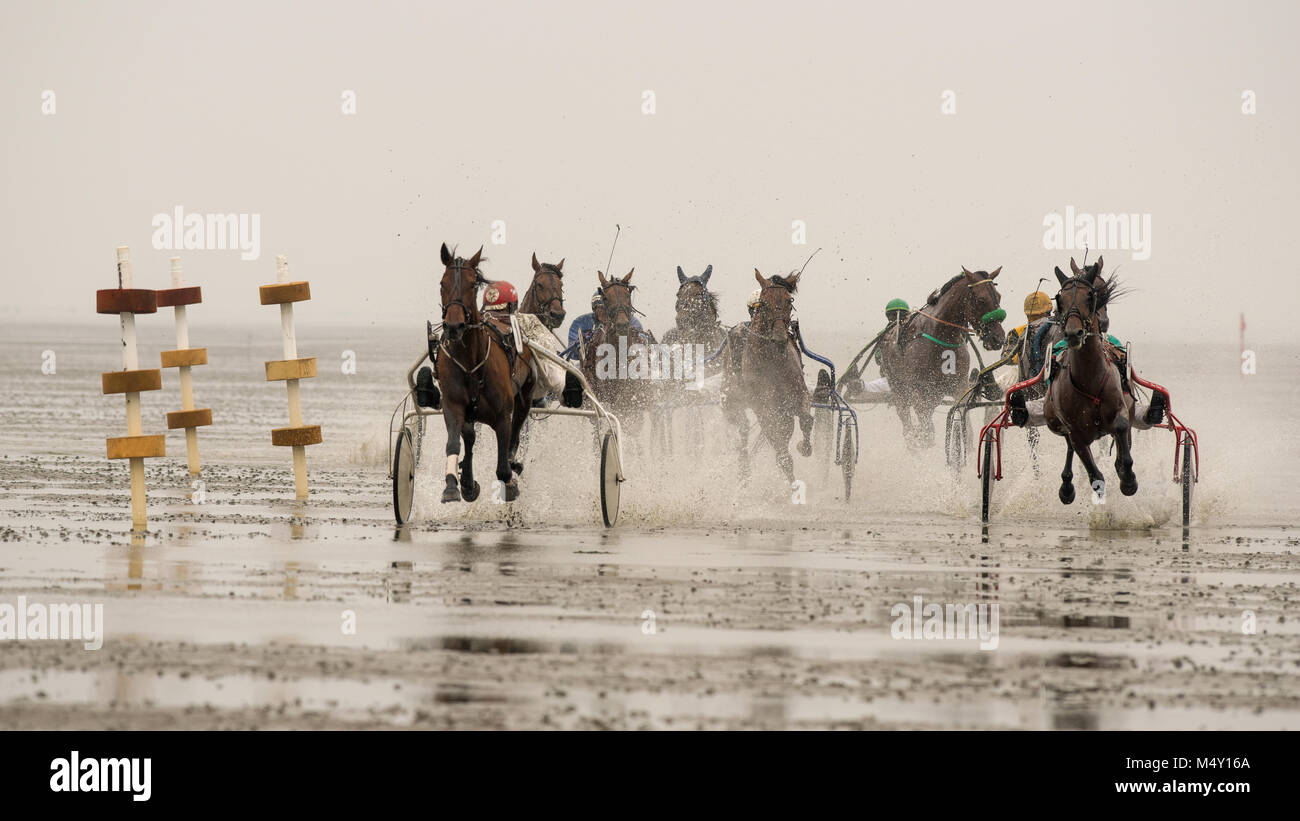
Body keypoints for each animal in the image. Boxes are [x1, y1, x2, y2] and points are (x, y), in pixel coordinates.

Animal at [434, 240, 535, 504]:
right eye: (442, 283)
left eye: (472, 284)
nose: (454, 326)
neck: (470, 362)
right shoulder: (453, 406)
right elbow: (454, 444)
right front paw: (453, 485)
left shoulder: (503, 415)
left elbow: (502, 467)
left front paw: (511, 481)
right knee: (469, 438)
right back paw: (468, 481)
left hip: (526, 395)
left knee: (516, 431)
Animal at [722, 268, 811, 488]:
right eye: (763, 303)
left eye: (789, 300)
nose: (779, 338)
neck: (773, 361)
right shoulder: (763, 405)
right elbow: (778, 445)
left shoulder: (797, 394)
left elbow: (806, 418)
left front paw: (804, 446)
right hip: (734, 399)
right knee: (745, 429)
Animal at [878, 267, 1008, 449]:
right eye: (981, 299)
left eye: (998, 296)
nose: (998, 338)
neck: (940, 334)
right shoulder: (919, 391)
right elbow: (925, 431)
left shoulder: (958, 386)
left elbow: (964, 424)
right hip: (899, 388)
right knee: (906, 419)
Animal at [1034, 257, 1138, 504]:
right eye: (1060, 299)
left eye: (1092, 296)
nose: (1074, 333)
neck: (1089, 376)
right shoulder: (1075, 432)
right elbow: (1092, 471)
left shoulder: (1120, 407)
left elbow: (1121, 427)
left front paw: (1127, 476)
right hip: (1053, 420)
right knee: (1069, 447)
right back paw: (1067, 484)